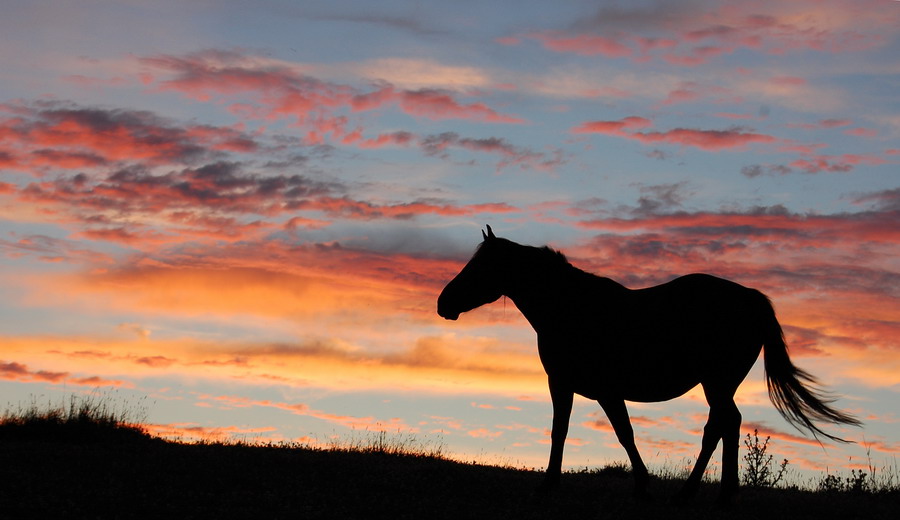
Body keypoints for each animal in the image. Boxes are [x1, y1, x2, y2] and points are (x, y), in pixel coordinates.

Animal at [440, 224, 860, 504]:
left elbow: (609, 433)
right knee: (727, 424)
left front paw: (629, 483)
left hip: (717, 381)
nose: (443, 303)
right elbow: (583, 431)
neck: (572, 307)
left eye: (480, 267)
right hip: (719, 383)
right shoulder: (579, 387)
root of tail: (750, 298)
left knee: (720, 425)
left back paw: (694, 492)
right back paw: (720, 493)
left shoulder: (583, 386)